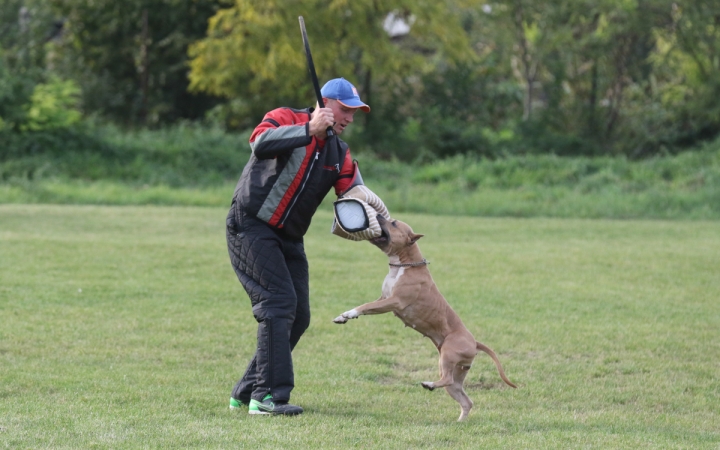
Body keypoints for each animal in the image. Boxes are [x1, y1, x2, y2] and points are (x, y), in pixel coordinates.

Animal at [334, 216, 516, 420]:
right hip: (456, 373)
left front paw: (349, 313)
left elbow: (365, 306)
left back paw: (430, 384)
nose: (380, 216)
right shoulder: (384, 299)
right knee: (465, 399)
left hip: (448, 354)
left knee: (447, 379)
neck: (403, 264)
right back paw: (459, 421)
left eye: (394, 223)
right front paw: (343, 316)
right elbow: (367, 306)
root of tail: (475, 342)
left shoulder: (394, 302)